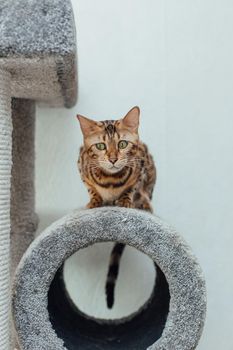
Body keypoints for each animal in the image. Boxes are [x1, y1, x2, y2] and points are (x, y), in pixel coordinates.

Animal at [77, 106, 157, 308]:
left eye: (122, 144)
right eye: (100, 146)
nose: (113, 159)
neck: (110, 181)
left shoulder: (141, 167)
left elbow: (132, 187)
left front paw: (125, 201)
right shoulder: (81, 165)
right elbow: (91, 188)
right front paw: (94, 201)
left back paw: (145, 205)